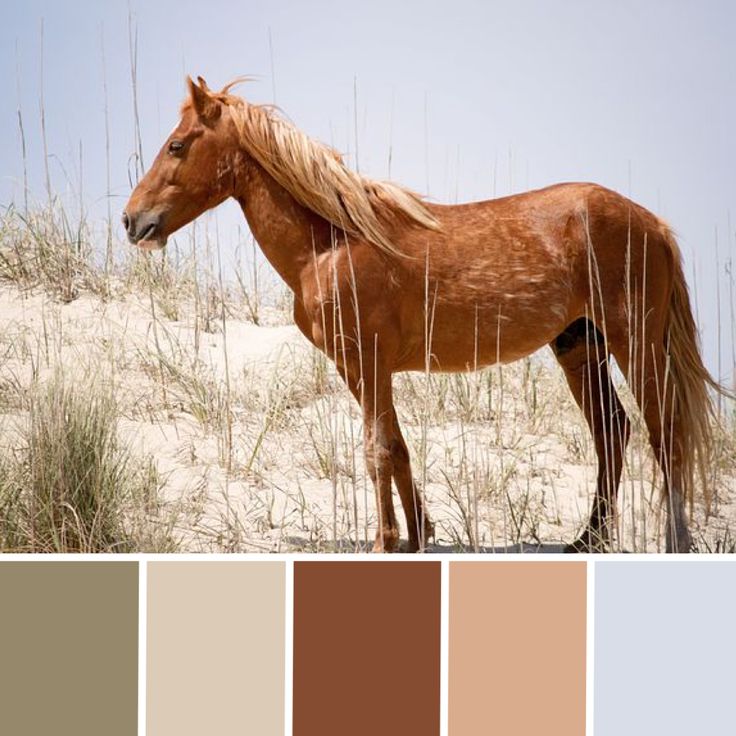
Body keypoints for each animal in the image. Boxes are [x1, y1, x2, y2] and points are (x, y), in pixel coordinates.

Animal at [123, 79, 720, 552]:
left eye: (177, 145)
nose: (133, 221)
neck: (332, 243)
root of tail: (653, 223)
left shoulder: (369, 362)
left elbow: (377, 452)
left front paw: (385, 542)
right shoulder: (361, 369)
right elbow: (397, 448)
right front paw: (417, 536)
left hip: (636, 343)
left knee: (664, 433)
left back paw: (674, 542)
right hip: (580, 347)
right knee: (613, 432)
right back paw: (587, 540)